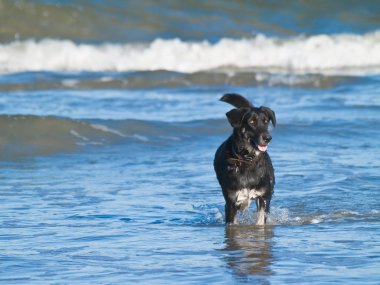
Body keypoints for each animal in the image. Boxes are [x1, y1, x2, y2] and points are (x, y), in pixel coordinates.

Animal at [214, 93, 276, 224]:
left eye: (266, 122)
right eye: (251, 122)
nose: (268, 138)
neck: (247, 160)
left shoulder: (264, 197)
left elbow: (261, 221)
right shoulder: (231, 203)